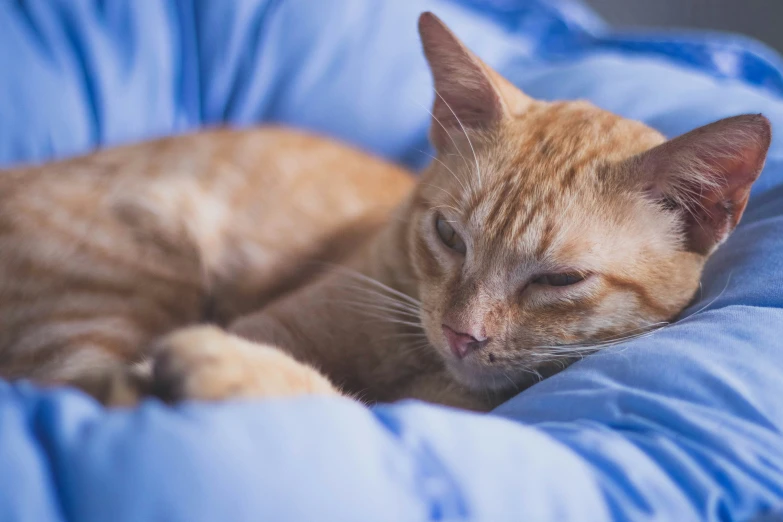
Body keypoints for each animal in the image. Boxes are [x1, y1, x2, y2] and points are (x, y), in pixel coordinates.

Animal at [0, 14, 772, 408]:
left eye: (558, 280)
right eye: (448, 235)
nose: (462, 335)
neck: (421, 370)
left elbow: (336, 403)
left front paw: (223, 370)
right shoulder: (270, 326)